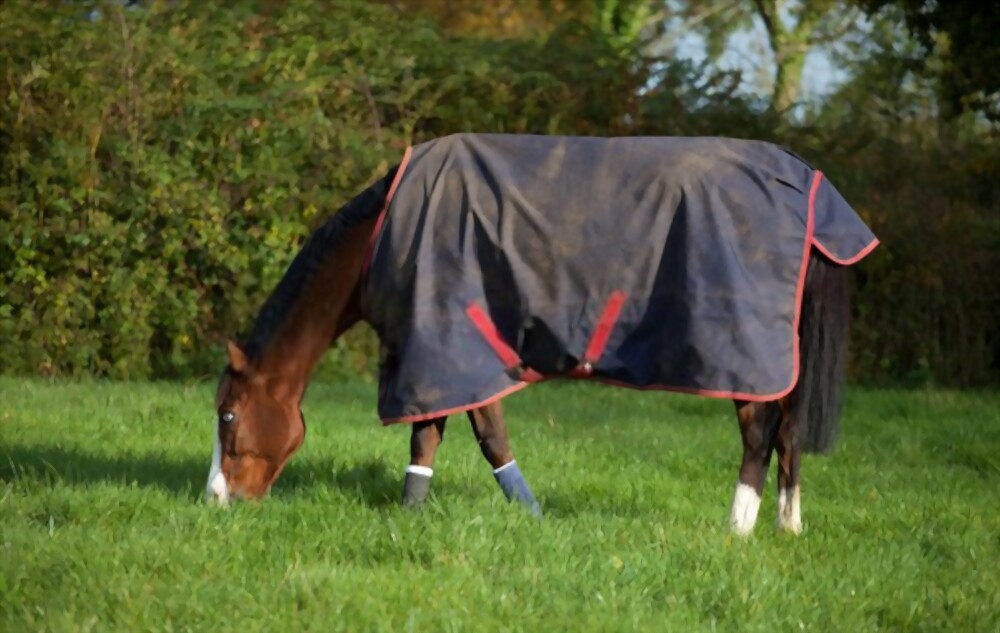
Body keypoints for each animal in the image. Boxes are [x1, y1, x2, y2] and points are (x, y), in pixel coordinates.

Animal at [206, 133, 879, 535]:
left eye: (228, 416)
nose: (217, 501)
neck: (385, 234)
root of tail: (809, 185)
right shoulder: (450, 354)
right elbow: (453, 437)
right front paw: (442, 513)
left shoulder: (445, 343)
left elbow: (466, 436)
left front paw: (495, 514)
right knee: (789, 433)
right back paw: (788, 526)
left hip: (743, 354)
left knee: (759, 435)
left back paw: (737, 528)